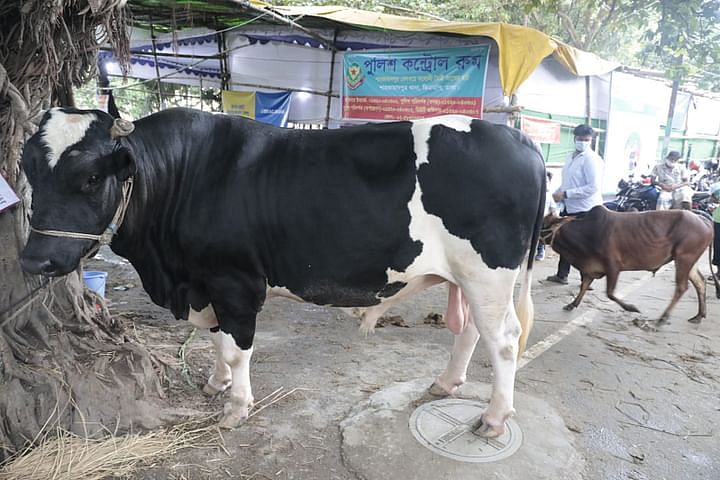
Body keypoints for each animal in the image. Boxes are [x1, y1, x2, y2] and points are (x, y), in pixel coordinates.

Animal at [19, 107, 544, 436]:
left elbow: (237, 348)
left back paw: (495, 417)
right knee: (472, 330)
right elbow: (216, 339)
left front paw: (236, 407)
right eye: (29, 171)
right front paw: (216, 385)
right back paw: (446, 382)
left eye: (91, 178)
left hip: (488, 273)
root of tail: (519, 138)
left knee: (502, 340)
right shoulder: (207, 284)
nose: (34, 260)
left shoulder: (234, 282)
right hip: (469, 278)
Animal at [544, 204, 716, 324]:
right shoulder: (590, 268)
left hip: (684, 258)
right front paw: (572, 304)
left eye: (545, 224)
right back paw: (699, 315)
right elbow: (584, 286)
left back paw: (663, 318)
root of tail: (704, 220)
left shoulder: (613, 266)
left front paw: (632, 308)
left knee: (681, 287)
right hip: (688, 261)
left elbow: (610, 293)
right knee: (700, 283)